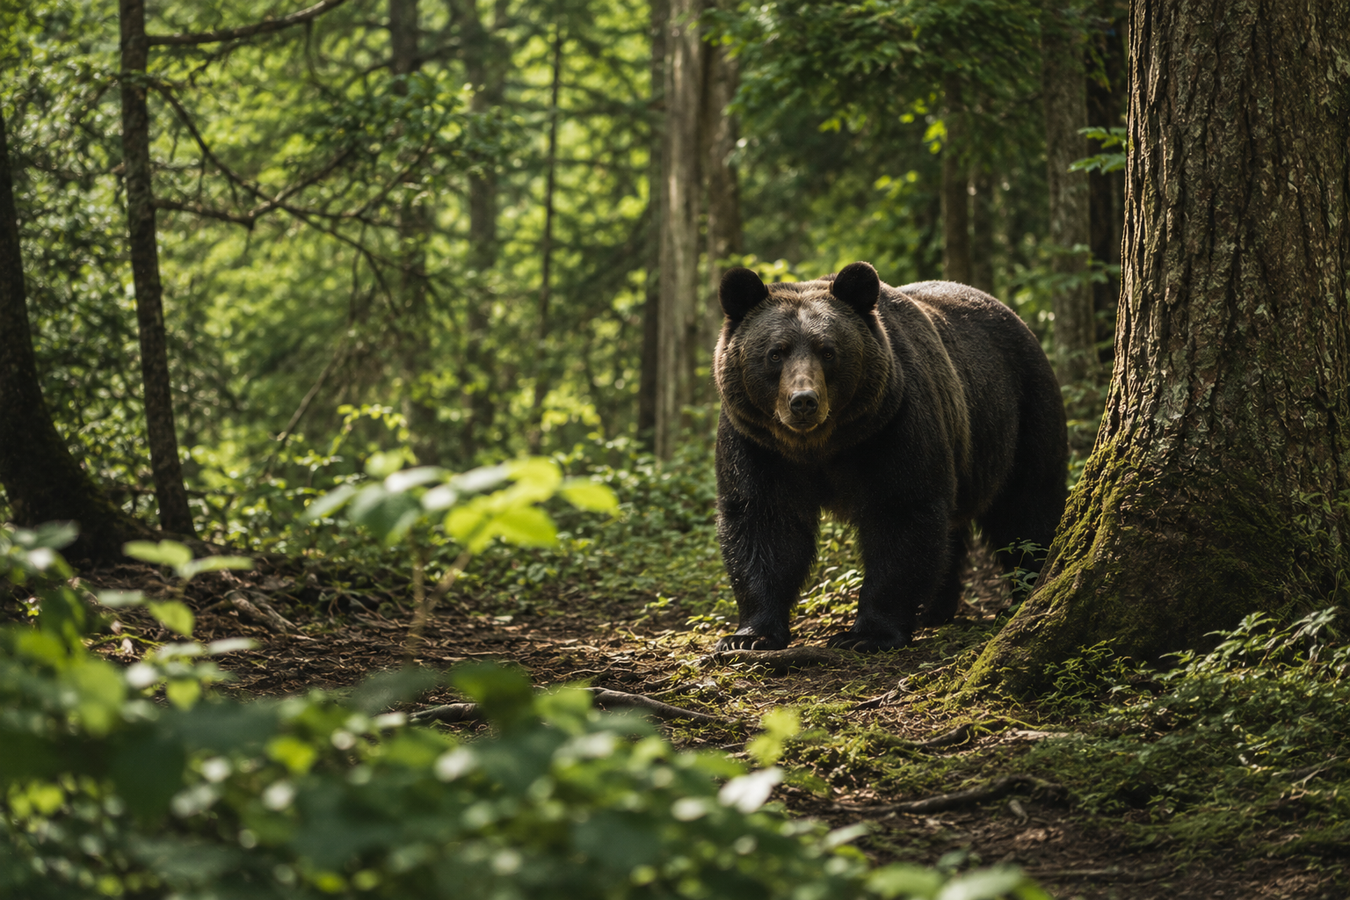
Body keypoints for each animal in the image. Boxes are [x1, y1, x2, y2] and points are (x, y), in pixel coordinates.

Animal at [712, 261, 1067, 652]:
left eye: (828, 351)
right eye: (776, 352)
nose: (803, 401)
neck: (821, 446)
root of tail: (1015, 318)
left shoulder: (893, 425)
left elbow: (901, 515)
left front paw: (867, 633)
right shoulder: (758, 444)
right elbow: (764, 523)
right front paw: (749, 635)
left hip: (1020, 414)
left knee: (1028, 504)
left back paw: (1027, 588)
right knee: (955, 529)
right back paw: (935, 609)